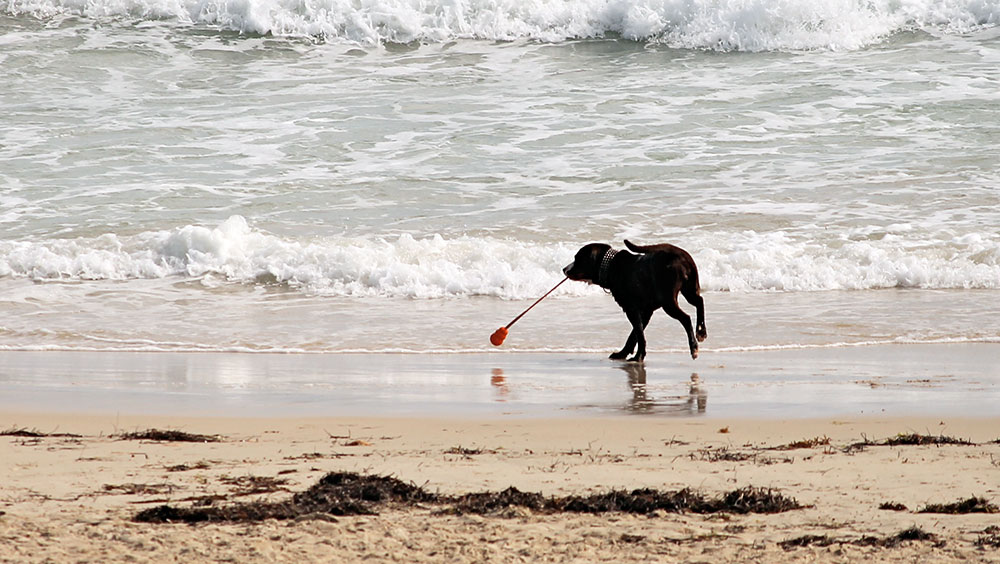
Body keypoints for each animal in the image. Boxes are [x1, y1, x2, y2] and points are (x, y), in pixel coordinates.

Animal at [568, 239, 708, 362]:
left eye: (577, 258)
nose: (565, 269)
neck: (611, 266)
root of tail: (680, 254)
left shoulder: (632, 310)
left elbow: (639, 335)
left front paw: (638, 356)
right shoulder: (645, 312)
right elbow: (634, 336)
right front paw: (623, 353)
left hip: (668, 303)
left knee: (686, 318)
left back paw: (694, 347)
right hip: (689, 291)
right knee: (699, 301)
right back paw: (701, 331)